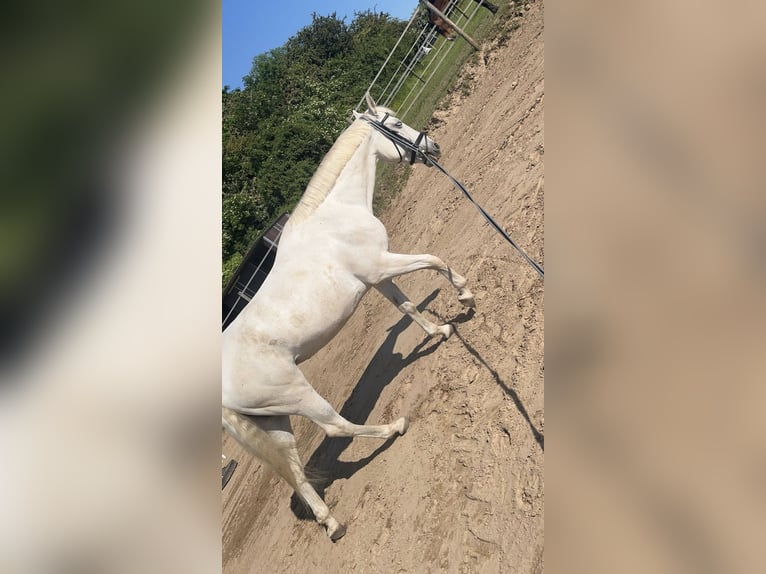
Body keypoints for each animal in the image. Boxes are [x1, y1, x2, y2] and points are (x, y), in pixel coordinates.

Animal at [220, 94, 474, 544]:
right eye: (395, 123)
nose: (433, 147)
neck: (336, 215)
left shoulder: (377, 277)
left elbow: (408, 307)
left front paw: (440, 330)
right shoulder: (382, 265)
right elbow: (434, 260)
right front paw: (464, 294)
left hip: (274, 419)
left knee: (295, 471)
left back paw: (333, 524)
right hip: (298, 396)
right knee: (336, 427)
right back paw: (394, 428)